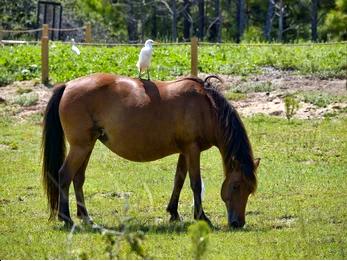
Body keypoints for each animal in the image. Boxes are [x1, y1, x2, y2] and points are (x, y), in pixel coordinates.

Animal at [41, 72, 260, 228]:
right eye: (236, 186)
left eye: (250, 190)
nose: (237, 223)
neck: (207, 107)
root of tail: (68, 85)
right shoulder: (192, 149)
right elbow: (195, 184)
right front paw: (202, 217)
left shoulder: (185, 151)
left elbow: (179, 180)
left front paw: (174, 213)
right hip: (80, 147)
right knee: (64, 176)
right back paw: (66, 218)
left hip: (87, 146)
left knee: (78, 179)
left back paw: (86, 217)